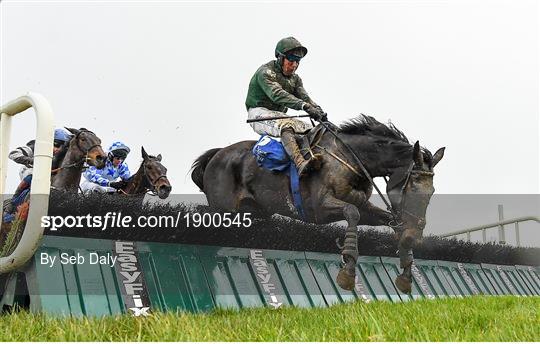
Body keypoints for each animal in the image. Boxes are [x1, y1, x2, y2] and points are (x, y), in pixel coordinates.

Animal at [192, 115, 446, 292]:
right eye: (413, 187)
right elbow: (351, 213)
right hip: (224, 209)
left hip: (255, 212)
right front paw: (348, 270)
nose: (416, 236)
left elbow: (387, 219)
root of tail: (217, 154)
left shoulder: (365, 207)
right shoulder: (319, 208)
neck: (350, 158)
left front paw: (405, 270)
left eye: (432, 191)